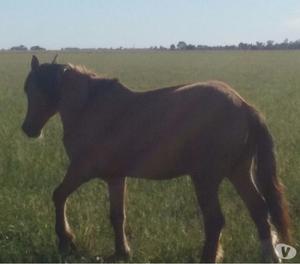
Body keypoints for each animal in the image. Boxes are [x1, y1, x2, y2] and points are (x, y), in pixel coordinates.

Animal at [22, 55, 290, 262]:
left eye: (33, 89)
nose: (28, 129)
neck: (90, 107)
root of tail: (244, 106)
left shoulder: (81, 169)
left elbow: (58, 195)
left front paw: (65, 239)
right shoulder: (115, 178)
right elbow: (117, 215)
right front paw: (122, 252)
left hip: (206, 178)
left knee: (215, 221)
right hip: (238, 171)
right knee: (259, 210)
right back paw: (270, 256)